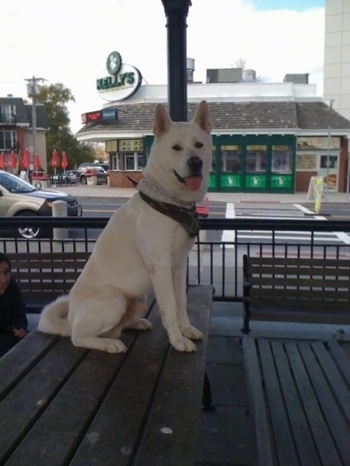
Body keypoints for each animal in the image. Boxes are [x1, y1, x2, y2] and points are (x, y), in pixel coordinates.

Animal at [39, 100, 212, 352]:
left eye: (199, 145)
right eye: (176, 148)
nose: (196, 162)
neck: (171, 201)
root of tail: (70, 320)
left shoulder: (179, 265)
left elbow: (181, 303)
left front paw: (186, 329)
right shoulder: (160, 265)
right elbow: (170, 308)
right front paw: (178, 340)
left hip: (138, 300)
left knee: (116, 327)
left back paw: (135, 324)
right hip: (114, 299)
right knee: (79, 338)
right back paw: (109, 344)